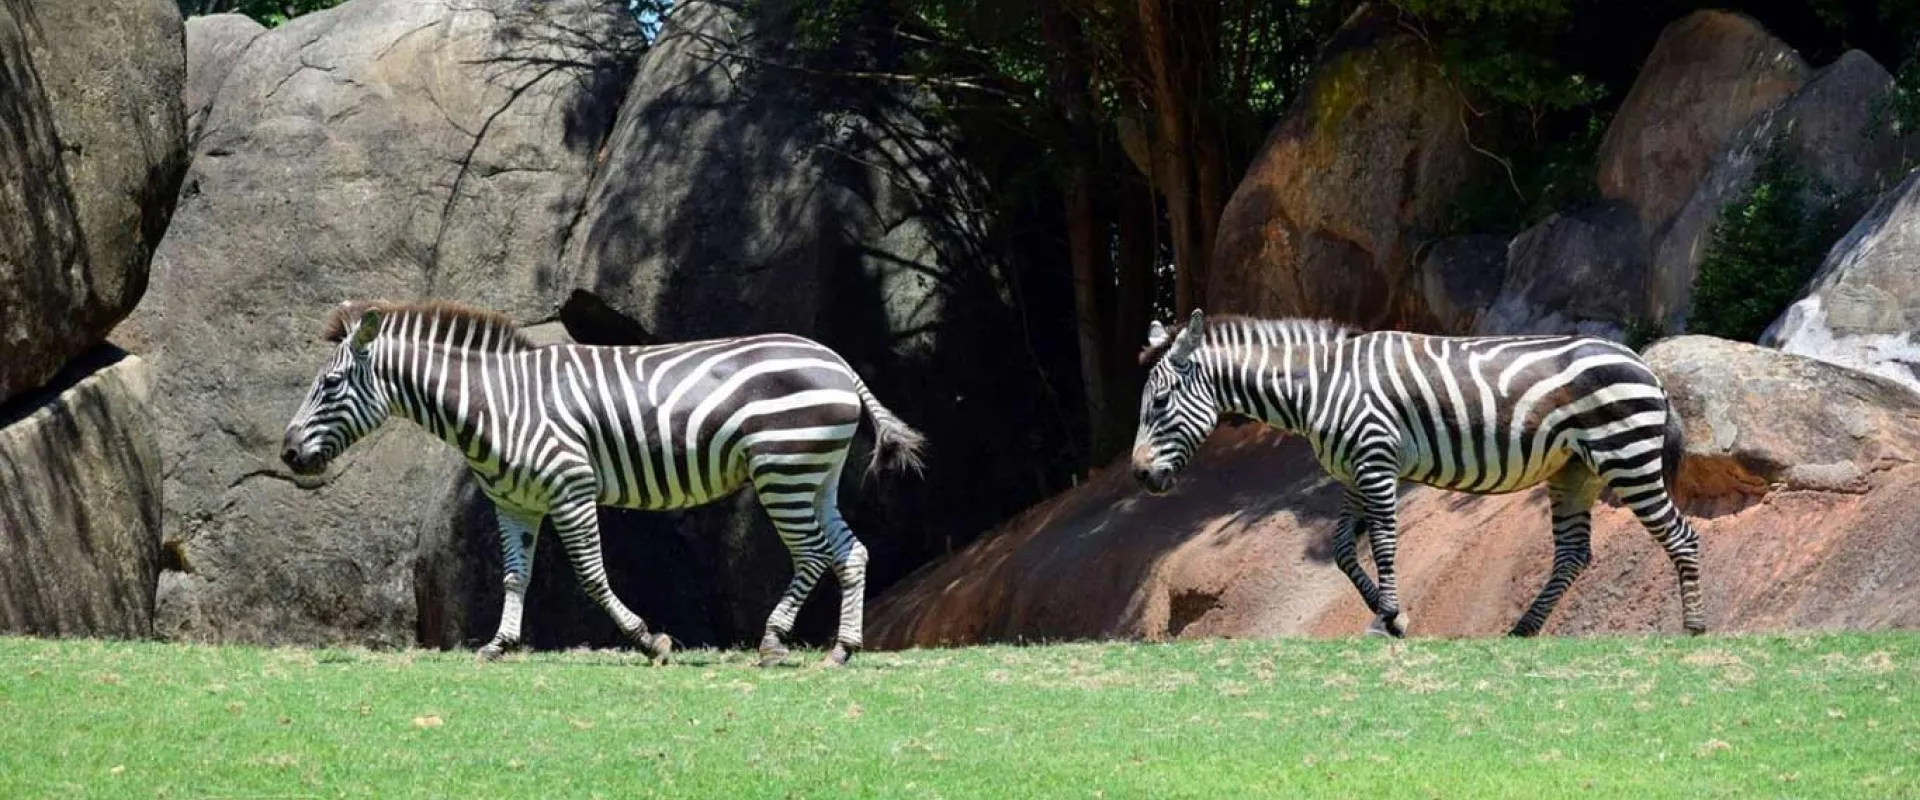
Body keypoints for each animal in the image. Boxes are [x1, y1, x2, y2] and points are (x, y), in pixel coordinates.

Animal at [280, 300, 925, 667]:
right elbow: (514, 577)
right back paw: (841, 650)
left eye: (330, 385)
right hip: (816, 474)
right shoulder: (515, 503)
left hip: (782, 470)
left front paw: (649, 641)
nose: (286, 453)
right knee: (850, 553)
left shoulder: (570, 488)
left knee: (815, 555)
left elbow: (591, 577)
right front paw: (499, 646)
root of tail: (838, 362)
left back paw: (777, 643)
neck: (494, 405)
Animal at [1130, 309, 1704, 638]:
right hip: (1574, 472)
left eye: (1159, 403)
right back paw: (1524, 628)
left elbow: (1384, 542)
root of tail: (1645, 365)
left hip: (1626, 456)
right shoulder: (1353, 473)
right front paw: (1388, 615)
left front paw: (1388, 616)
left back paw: (1693, 626)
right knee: (1573, 554)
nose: (1138, 477)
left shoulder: (1375, 460)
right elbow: (1342, 548)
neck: (1317, 386)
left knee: (1683, 537)